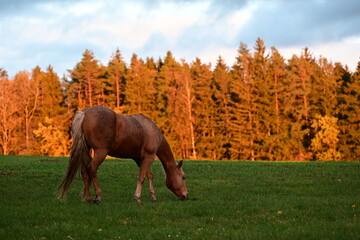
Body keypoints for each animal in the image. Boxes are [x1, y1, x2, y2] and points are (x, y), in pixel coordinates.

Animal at [57, 106, 188, 203]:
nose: (186, 195)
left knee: (85, 171)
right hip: (100, 152)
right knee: (92, 168)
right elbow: (142, 177)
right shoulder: (149, 156)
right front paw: (137, 197)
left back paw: (88, 198)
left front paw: (153, 196)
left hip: (86, 149)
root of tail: (84, 113)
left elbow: (149, 175)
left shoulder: (139, 159)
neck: (152, 131)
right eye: (183, 177)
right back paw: (98, 196)